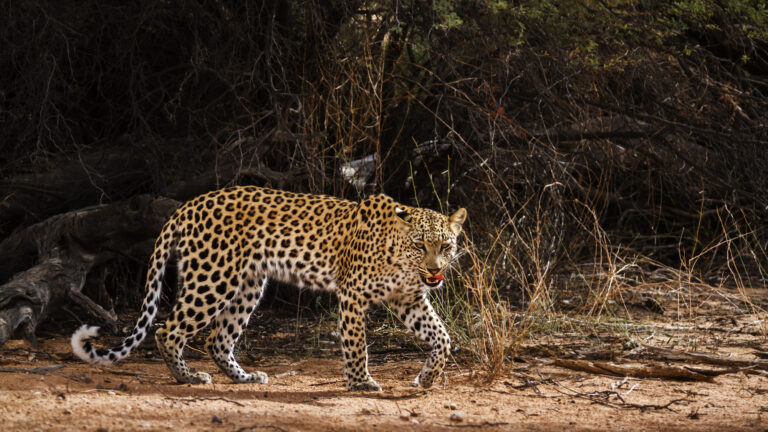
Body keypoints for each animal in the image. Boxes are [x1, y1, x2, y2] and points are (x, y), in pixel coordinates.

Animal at [72, 185, 466, 391]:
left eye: (446, 246)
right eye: (420, 245)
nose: (436, 270)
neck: (402, 259)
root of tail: (188, 204)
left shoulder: (408, 298)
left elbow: (442, 337)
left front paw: (428, 377)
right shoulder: (353, 294)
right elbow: (356, 345)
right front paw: (360, 383)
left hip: (247, 284)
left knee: (217, 339)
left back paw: (245, 377)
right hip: (213, 278)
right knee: (168, 330)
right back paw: (189, 377)